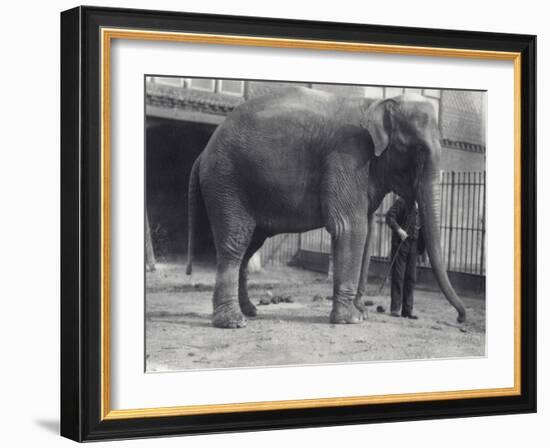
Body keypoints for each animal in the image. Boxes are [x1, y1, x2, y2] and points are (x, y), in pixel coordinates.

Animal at [188, 86, 468, 328]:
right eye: (419, 150)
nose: (461, 319)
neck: (375, 104)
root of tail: (203, 152)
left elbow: (367, 232)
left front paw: (362, 313)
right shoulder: (347, 154)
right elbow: (350, 227)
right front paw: (351, 319)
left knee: (250, 245)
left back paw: (251, 311)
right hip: (227, 182)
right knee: (236, 241)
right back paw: (232, 322)